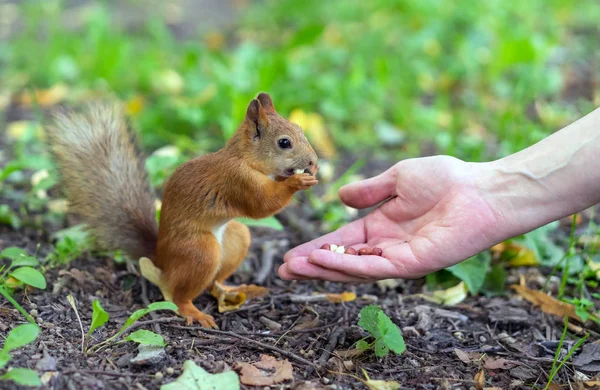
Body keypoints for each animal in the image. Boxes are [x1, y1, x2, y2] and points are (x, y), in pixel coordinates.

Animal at [47, 93, 318, 328]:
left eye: (301, 130)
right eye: (284, 143)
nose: (313, 161)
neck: (245, 158)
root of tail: (161, 259)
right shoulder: (238, 181)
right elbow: (262, 205)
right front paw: (297, 181)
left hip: (236, 238)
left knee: (214, 283)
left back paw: (236, 290)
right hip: (201, 250)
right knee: (178, 296)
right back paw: (193, 312)